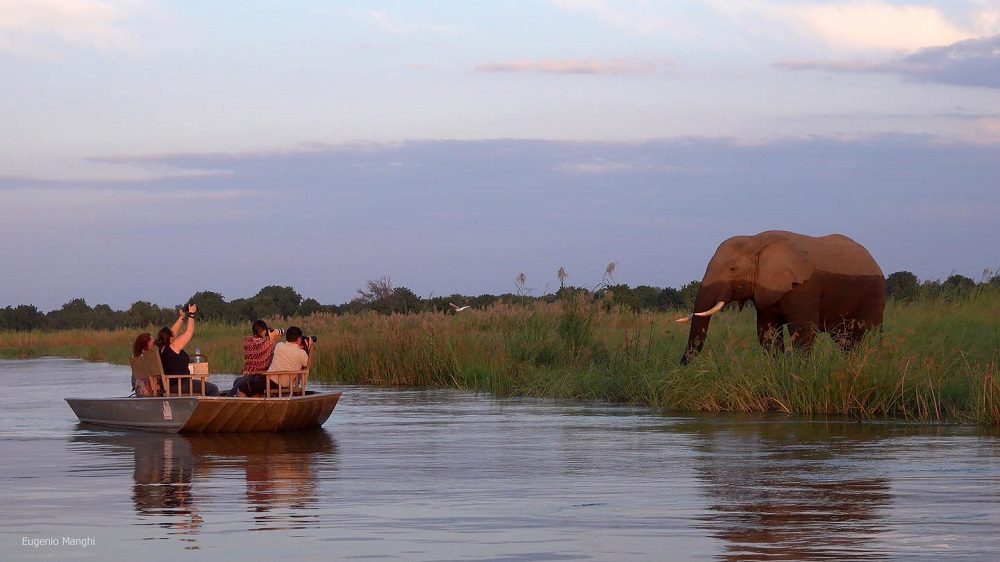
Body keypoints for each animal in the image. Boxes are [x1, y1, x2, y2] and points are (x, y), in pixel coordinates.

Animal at [680, 230, 884, 366]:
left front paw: (801, 371)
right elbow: (767, 332)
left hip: (874, 294)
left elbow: (802, 331)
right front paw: (776, 368)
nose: (681, 366)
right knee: (845, 340)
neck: (755, 241)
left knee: (866, 335)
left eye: (732, 269)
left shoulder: (804, 288)